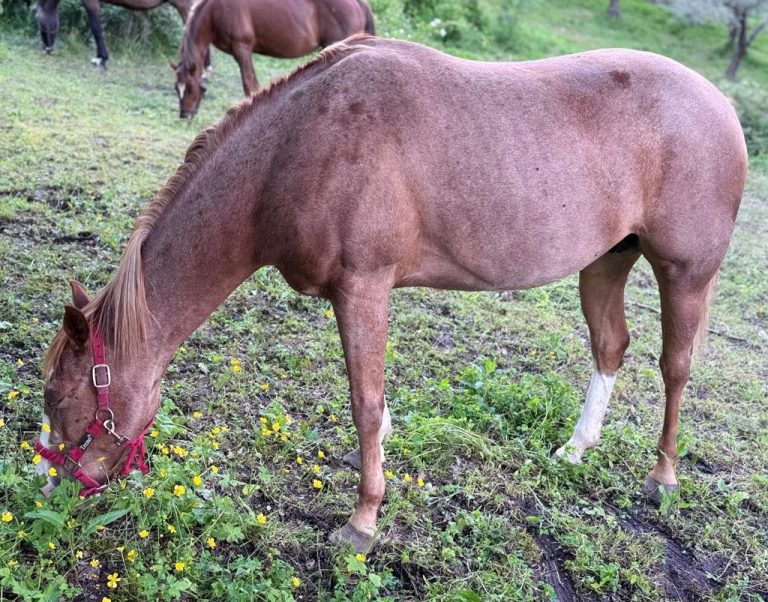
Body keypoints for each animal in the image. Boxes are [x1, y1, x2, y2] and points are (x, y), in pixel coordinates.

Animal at [38, 36, 747, 552]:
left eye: (64, 398)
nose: (51, 488)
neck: (296, 148)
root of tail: (721, 105)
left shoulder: (363, 288)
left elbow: (365, 406)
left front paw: (363, 521)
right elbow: (376, 410)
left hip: (685, 272)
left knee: (676, 367)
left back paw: (662, 477)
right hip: (606, 261)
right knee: (611, 347)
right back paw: (575, 449)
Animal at [172, 0, 375, 118]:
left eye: (189, 88)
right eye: (176, 88)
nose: (185, 114)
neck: (216, 10)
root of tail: (360, 4)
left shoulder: (242, 49)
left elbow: (250, 84)